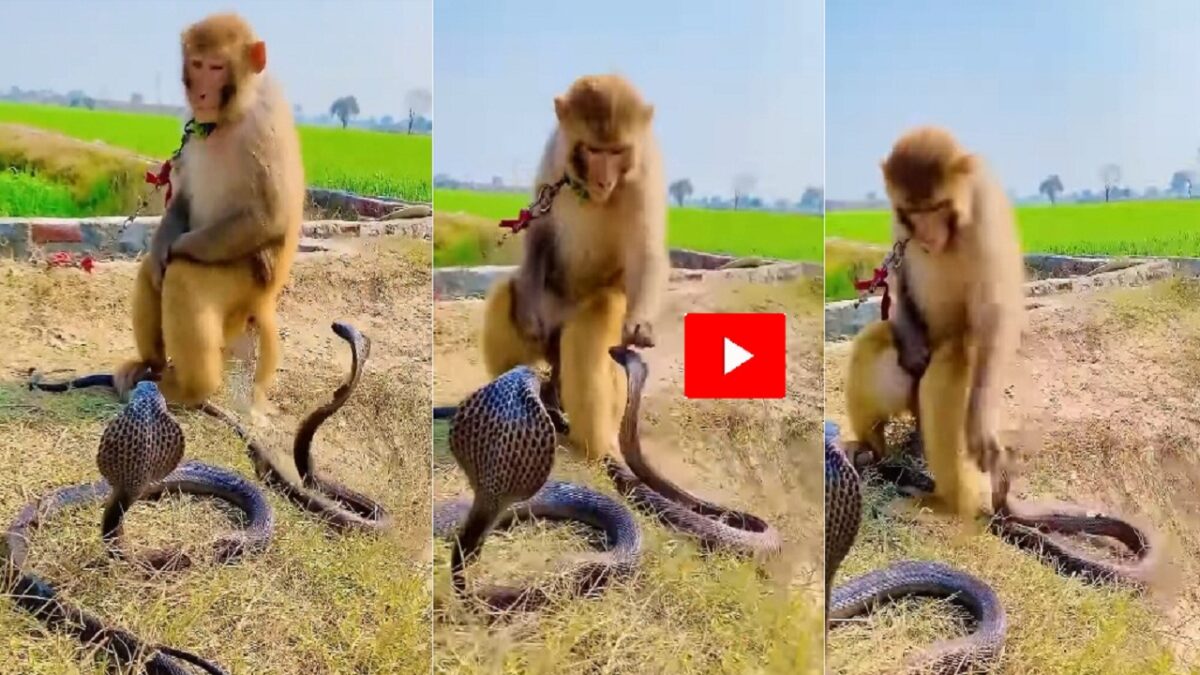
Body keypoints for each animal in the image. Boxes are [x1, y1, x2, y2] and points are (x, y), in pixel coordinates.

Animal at [113, 12, 305, 411]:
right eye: (198, 65)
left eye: (217, 68)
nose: (201, 94)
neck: (230, 115)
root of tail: (263, 301)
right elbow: (183, 196)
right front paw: (162, 246)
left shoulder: (264, 122)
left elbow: (268, 216)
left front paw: (176, 249)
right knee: (152, 272)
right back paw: (149, 365)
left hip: (244, 283)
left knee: (183, 276)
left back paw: (190, 389)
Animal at [480, 73, 669, 461]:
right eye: (594, 150)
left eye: (616, 151)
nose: (603, 181)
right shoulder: (555, 153)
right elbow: (539, 229)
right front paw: (527, 313)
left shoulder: (645, 173)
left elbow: (646, 252)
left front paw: (641, 325)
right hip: (549, 313)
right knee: (508, 292)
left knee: (595, 321)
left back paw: (594, 447)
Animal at [844, 126, 1025, 518]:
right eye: (914, 211)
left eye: (936, 208)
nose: (926, 236)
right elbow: (899, 276)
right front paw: (913, 349)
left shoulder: (986, 209)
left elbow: (995, 312)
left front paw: (981, 425)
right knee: (874, 341)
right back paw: (870, 451)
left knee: (951, 362)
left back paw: (946, 502)